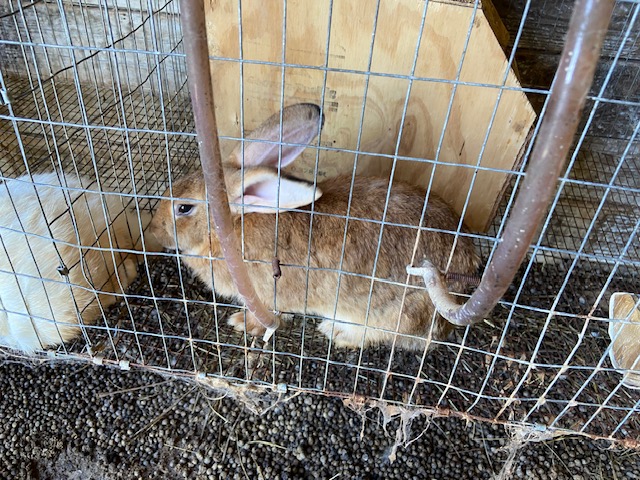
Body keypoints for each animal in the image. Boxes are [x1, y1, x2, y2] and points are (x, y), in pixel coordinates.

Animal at [149, 103, 481, 351]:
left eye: (183, 208)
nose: (154, 230)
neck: (229, 228)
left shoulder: (267, 297)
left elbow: (269, 316)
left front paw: (242, 323)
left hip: (394, 310)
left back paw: (337, 332)